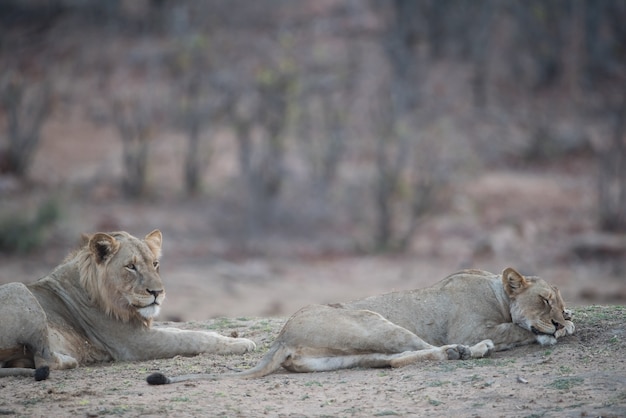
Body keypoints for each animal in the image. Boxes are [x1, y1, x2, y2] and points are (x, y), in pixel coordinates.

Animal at [0, 230, 255, 380]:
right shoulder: (134, 343)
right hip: (19, 289)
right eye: (131, 266)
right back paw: (73, 360)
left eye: (155, 264)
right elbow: (191, 338)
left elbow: (184, 330)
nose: (157, 292)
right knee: (45, 361)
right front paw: (241, 344)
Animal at [146, 268, 572, 386]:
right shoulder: (468, 326)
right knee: (415, 352)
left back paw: (459, 354)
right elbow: (518, 330)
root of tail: (281, 337)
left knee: (395, 361)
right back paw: (471, 351)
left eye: (560, 300)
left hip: (352, 353)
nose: (559, 317)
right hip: (374, 323)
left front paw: (566, 325)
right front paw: (552, 332)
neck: (496, 290)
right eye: (544, 300)